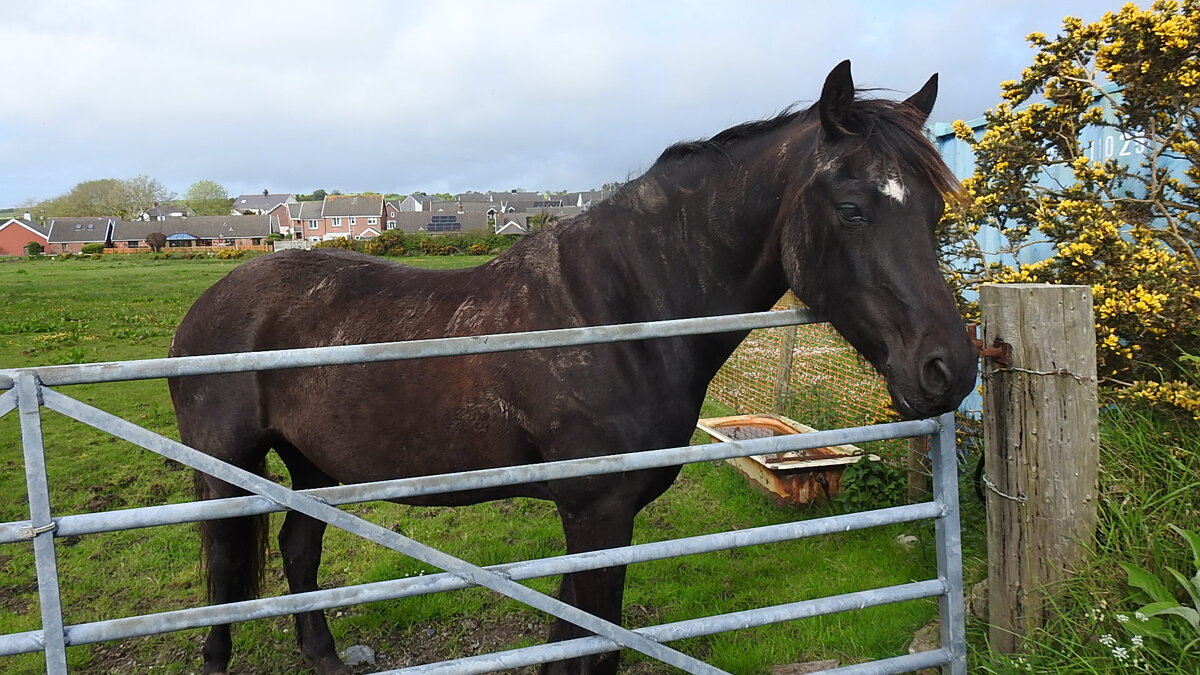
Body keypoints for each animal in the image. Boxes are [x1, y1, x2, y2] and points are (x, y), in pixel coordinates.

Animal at [169, 60, 974, 667]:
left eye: (935, 209)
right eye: (852, 208)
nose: (949, 370)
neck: (623, 310)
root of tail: (206, 306)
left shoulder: (595, 518)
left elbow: (572, 637)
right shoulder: (598, 512)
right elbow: (595, 645)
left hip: (313, 467)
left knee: (298, 553)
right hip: (226, 470)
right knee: (223, 575)